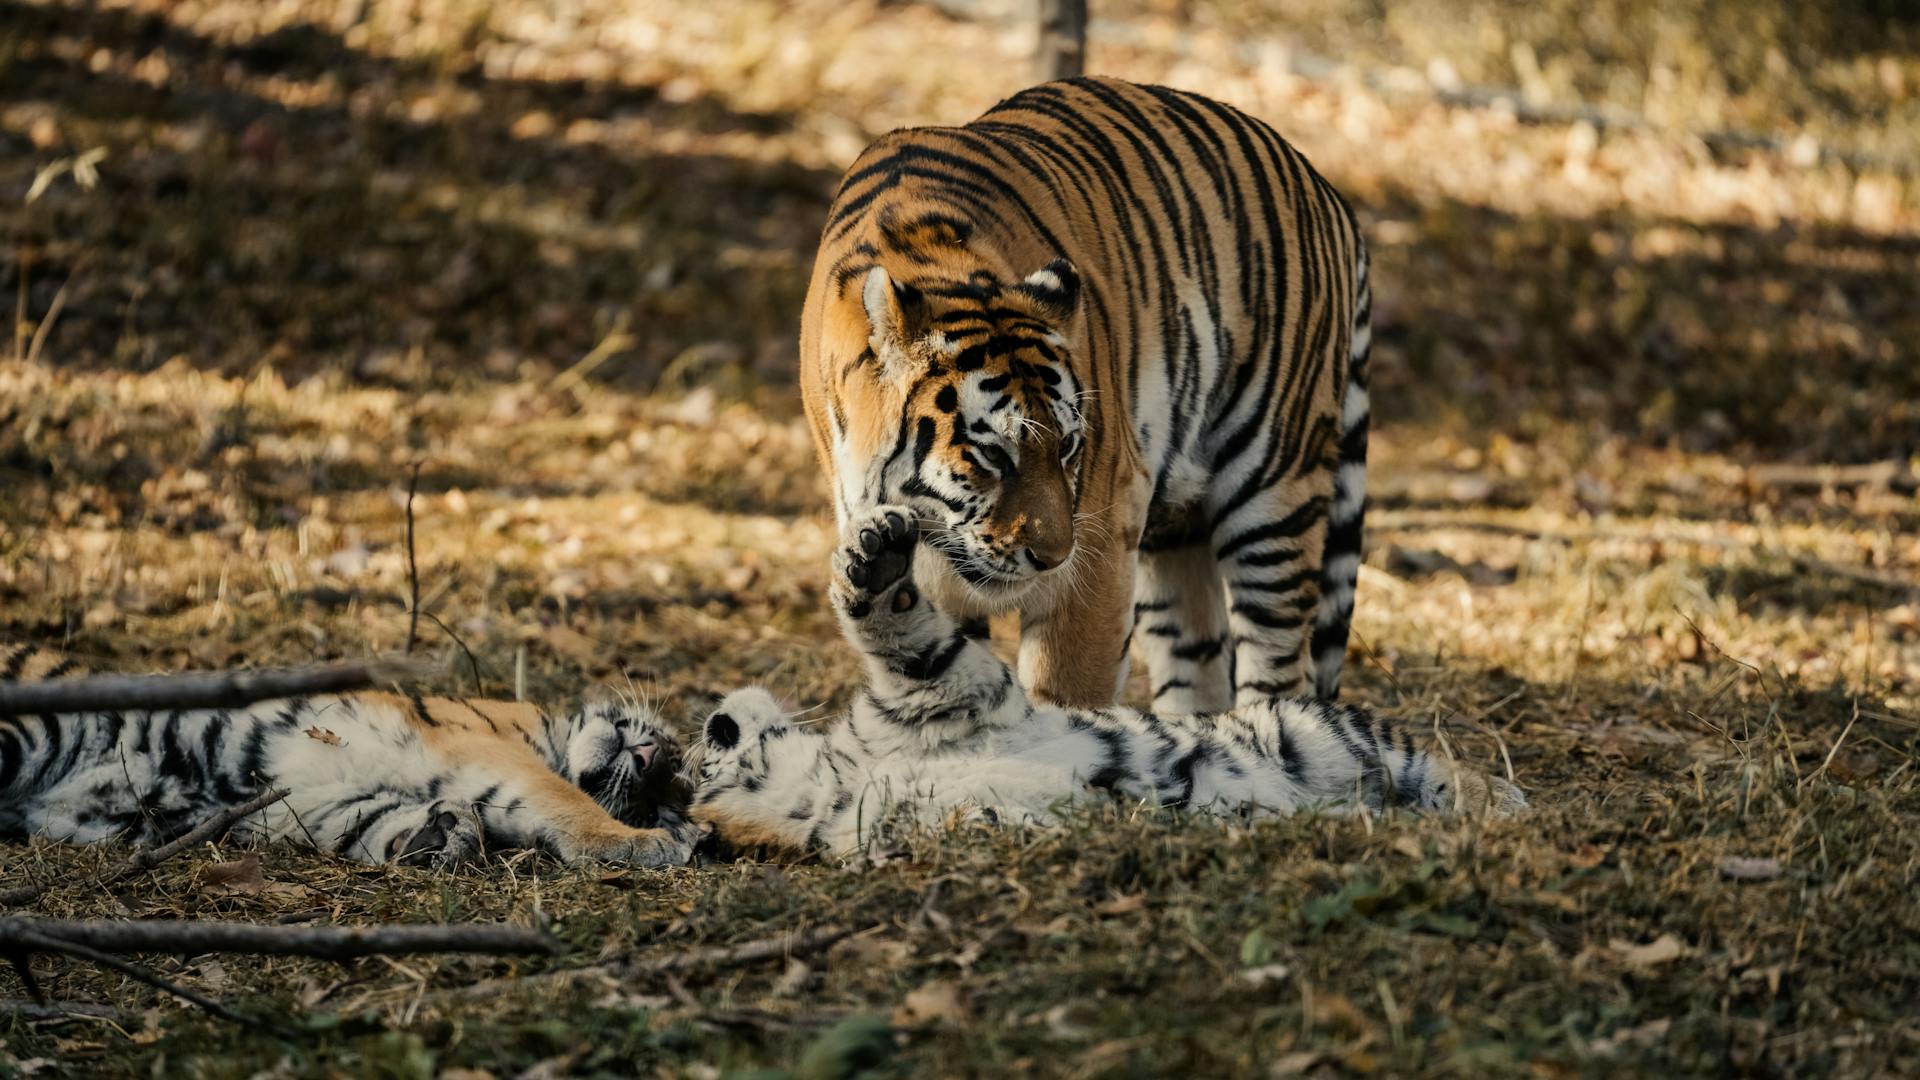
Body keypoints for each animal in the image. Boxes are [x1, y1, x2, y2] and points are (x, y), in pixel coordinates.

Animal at [802, 77, 1374, 714]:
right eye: (993, 455)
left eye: (1069, 447)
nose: (1051, 558)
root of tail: (1323, 187)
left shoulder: (1105, 525)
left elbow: (1068, 694)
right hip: (1176, 527)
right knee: (1197, 656)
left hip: (1275, 490)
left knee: (1278, 663)